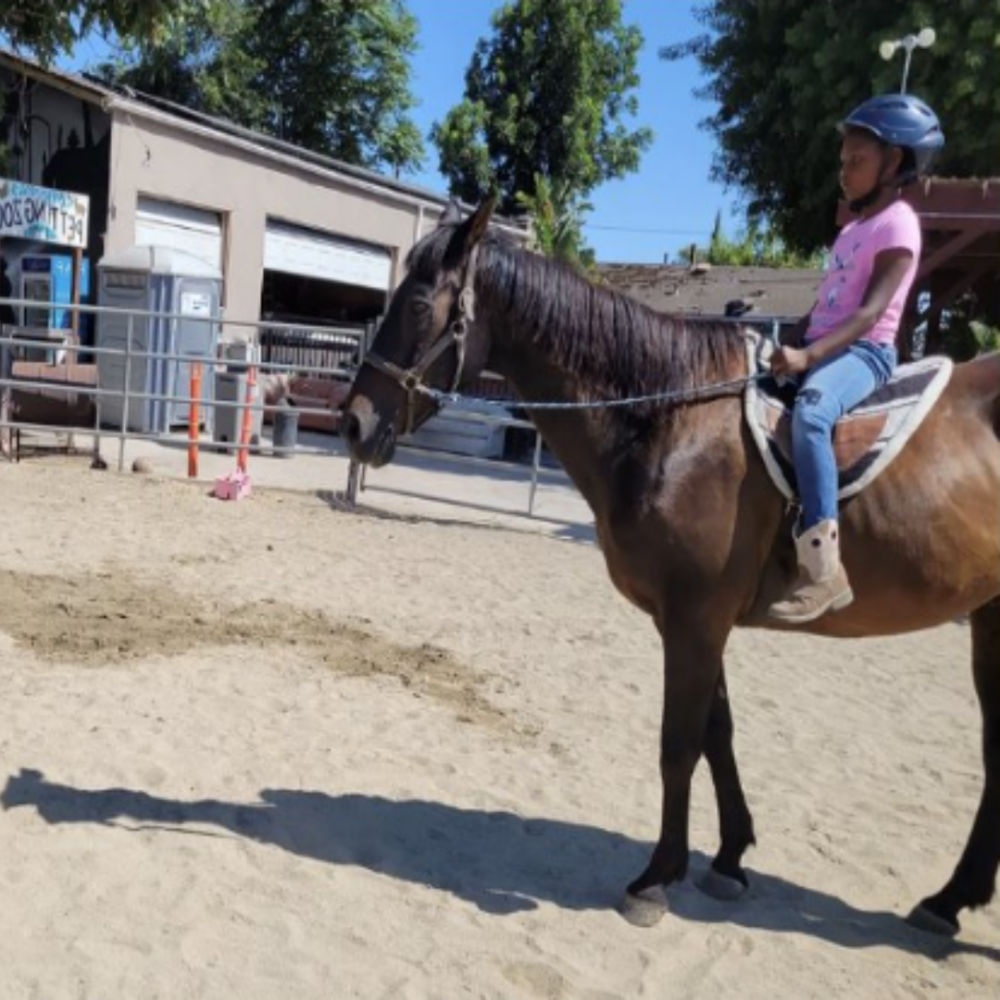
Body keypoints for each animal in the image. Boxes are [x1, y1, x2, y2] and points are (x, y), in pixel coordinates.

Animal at [342, 199, 1000, 936]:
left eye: (418, 303)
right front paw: (729, 859)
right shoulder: (694, 622)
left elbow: (678, 744)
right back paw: (948, 901)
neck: (669, 420)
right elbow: (718, 733)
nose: (353, 422)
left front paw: (656, 878)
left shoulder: (695, 621)